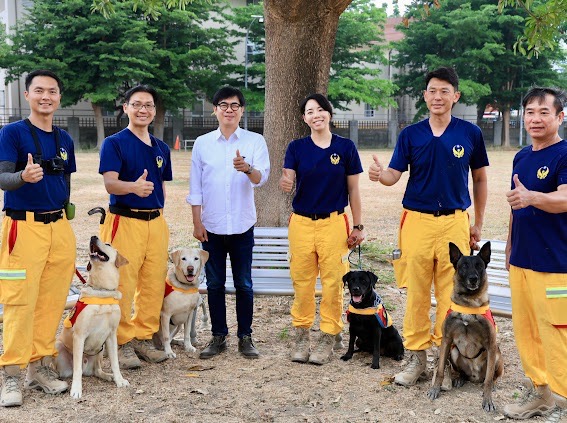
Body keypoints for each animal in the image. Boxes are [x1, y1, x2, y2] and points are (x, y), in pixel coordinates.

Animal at [55, 237, 130, 400]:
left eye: (108, 244)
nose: (93, 237)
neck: (102, 292)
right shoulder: (79, 336)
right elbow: (77, 369)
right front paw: (76, 390)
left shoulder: (111, 335)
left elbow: (115, 363)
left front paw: (119, 380)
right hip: (59, 347)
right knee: (70, 370)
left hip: (100, 350)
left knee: (97, 370)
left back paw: (108, 376)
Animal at [428, 243, 504, 412]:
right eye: (463, 266)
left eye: (479, 266)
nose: (473, 278)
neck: (468, 304)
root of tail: (475, 377)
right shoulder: (447, 341)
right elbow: (441, 369)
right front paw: (435, 389)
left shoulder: (491, 344)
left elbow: (488, 380)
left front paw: (488, 400)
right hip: (454, 351)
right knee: (463, 372)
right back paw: (460, 379)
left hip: (496, 355)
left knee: (492, 377)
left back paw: (494, 384)